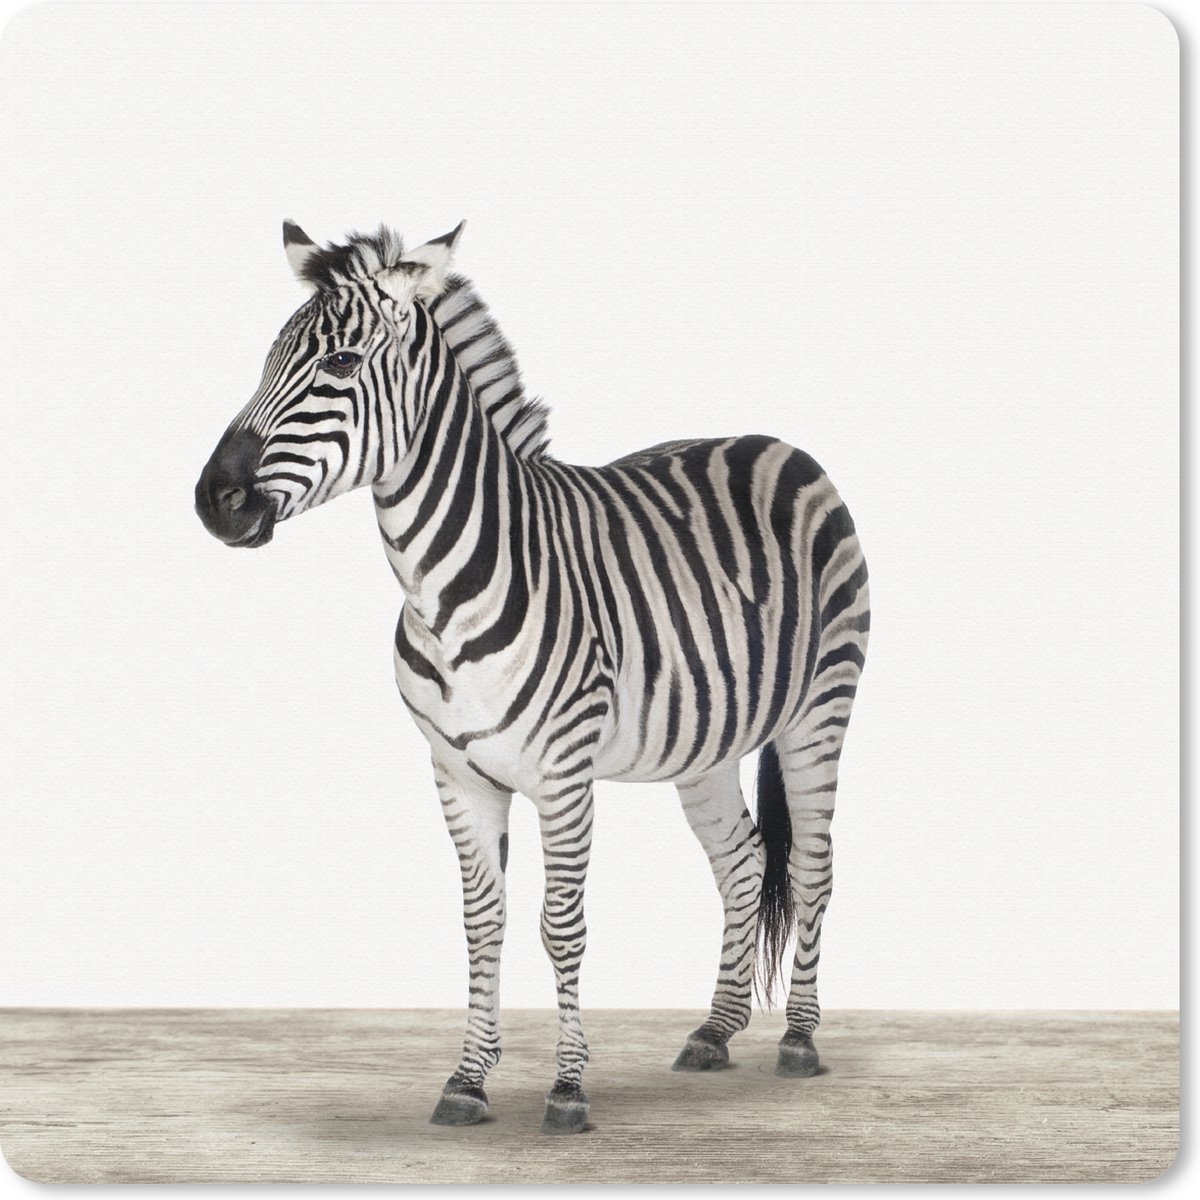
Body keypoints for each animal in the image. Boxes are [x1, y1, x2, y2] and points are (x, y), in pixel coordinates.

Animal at [195, 220, 870, 1135]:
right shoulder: (456, 772)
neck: (441, 588)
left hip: (820, 711)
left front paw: (568, 1088)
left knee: (812, 868)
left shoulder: (563, 771)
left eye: (338, 363)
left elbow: (561, 925)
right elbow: (483, 924)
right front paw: (468, 1080)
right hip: (706, 740)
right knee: (740, 861)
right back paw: (716, 1029)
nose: (214, 500)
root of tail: (782, 444)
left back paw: (798, 1039)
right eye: (267, 360)